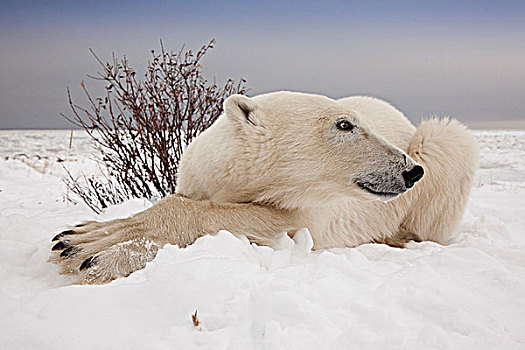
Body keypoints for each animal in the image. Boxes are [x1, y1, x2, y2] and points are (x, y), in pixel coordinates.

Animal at [50, 91, 478, 284]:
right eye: (344, 124)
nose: (410, 171)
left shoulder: (314, 209)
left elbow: (274, 223)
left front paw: (89, 250)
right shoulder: (199, 172)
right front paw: (78, 238)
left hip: (434, 153)